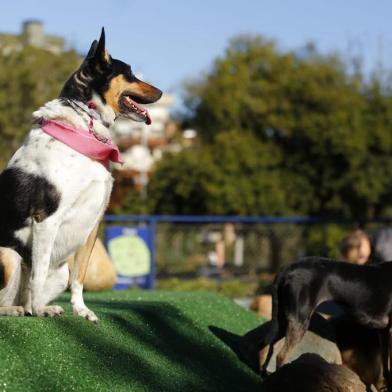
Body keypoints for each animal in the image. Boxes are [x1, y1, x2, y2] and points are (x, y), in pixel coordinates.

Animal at [0, 27, 161, 322]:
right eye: (130, 73)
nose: (162, 91)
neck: (85, 125)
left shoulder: (93, 222)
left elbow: (80, 276)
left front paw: (82, 310)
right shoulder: (46, 219)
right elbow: (38, 273)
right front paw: (41, 310)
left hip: (58, 272)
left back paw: (28, 308)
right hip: (7, 254)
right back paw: (24, 309)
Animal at [258, 258, 392, 386]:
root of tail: (287, 268)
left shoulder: (384, 331)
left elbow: (385, 366)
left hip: (283, 320)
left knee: (269, 345)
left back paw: (266, 376)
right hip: (299, 321)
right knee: (281, 355)